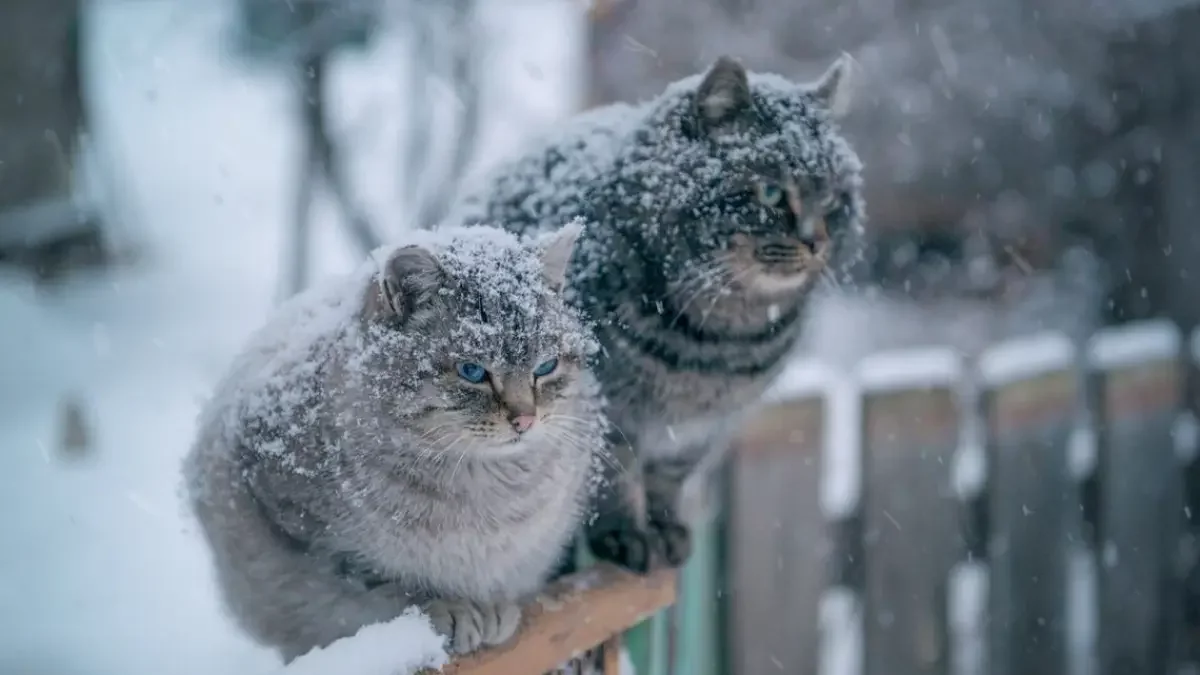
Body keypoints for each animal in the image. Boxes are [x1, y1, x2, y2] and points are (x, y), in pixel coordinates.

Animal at [181, 219, 604, 658]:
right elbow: (385, 584)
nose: (525, 420)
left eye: (546, 366)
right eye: (472, 371)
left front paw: (491, 607)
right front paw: (452, 608)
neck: (482, 487)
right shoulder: (305, 529)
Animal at [451, 55, 864, 569]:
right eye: (771, 193)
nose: (817, 242)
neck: (722, 343)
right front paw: (627, 536)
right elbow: (616, 479)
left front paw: (666, 529)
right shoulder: (609, 414)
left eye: (833, 200)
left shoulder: (700, 431)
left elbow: (668, 480)